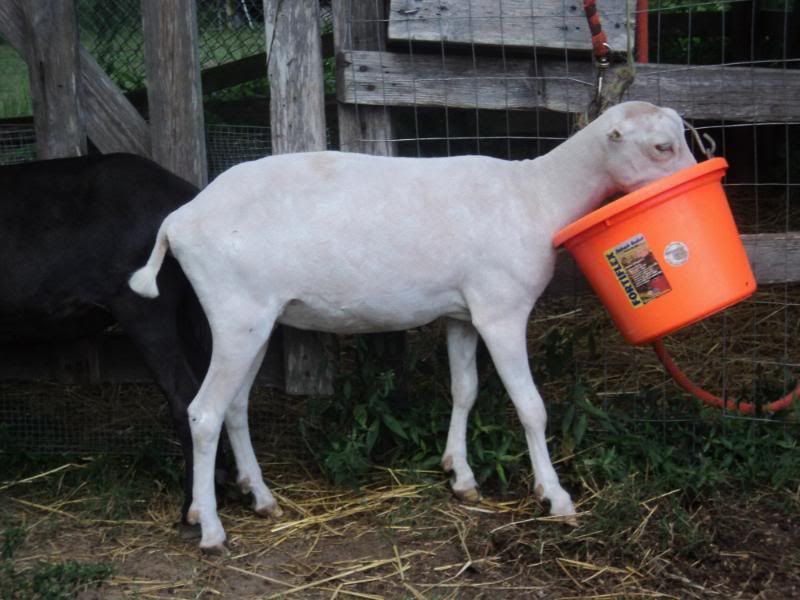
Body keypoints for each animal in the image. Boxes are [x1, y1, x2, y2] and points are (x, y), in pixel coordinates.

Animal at [130, 101, 696, 552]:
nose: (700, 183)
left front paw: (460, 476)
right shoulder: (501, 310)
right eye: (662, 146)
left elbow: (465, 390)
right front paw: (555, 497)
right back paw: (211, 529)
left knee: (235, 407)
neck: (537, 194)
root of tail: (177, 222)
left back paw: (261, 497)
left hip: (254, 321)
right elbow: (530, 407)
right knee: (203, 412)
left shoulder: (462, 315)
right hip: (235, 313)